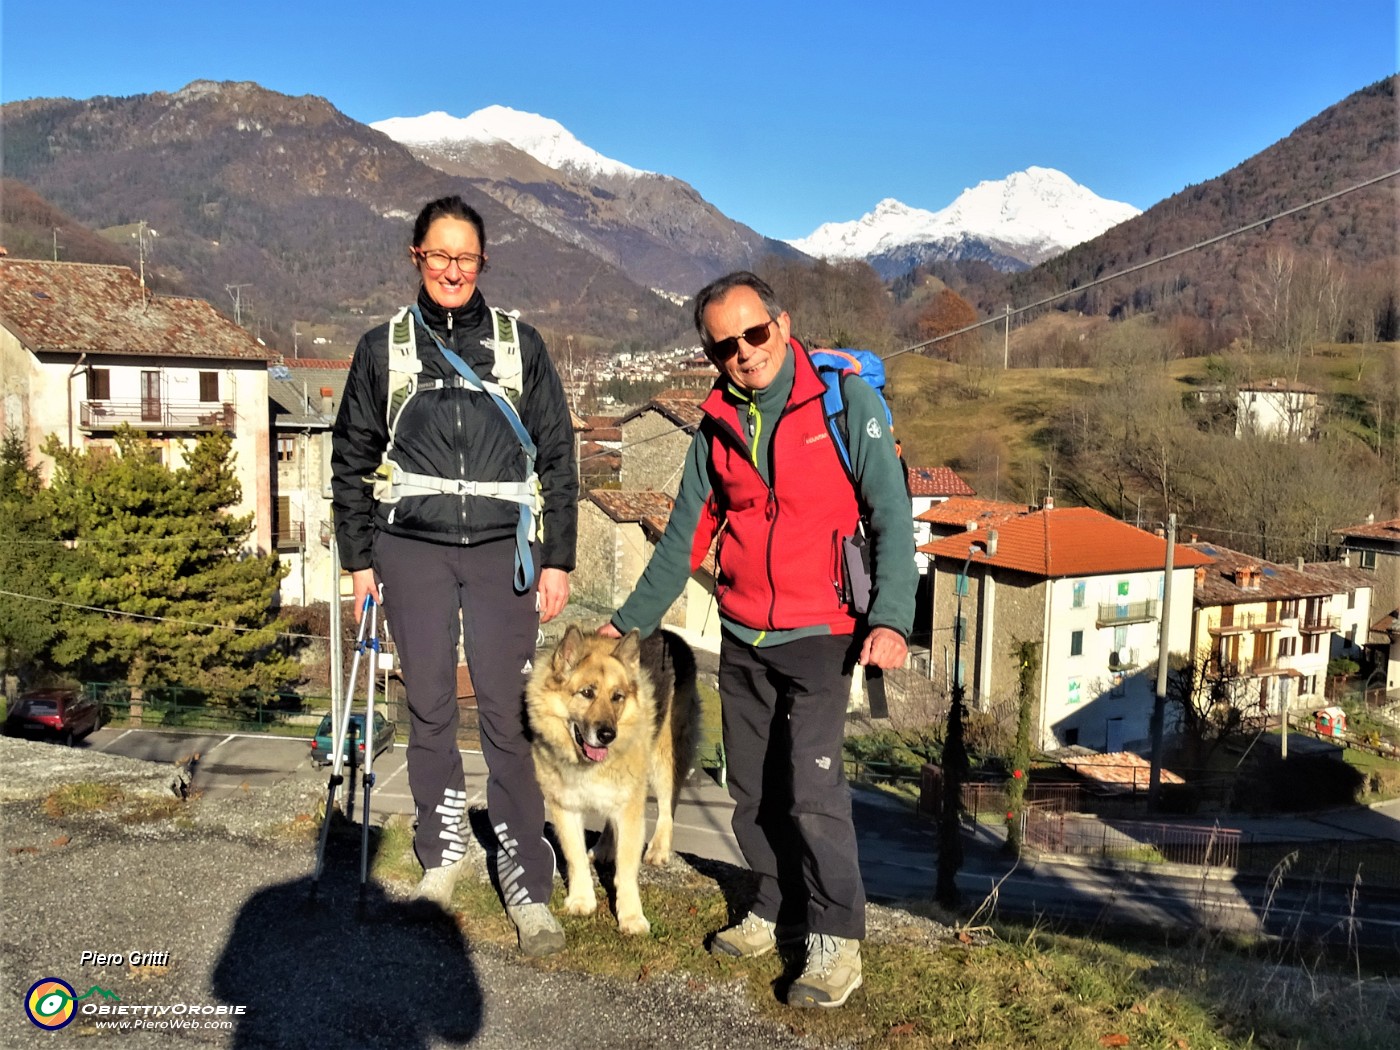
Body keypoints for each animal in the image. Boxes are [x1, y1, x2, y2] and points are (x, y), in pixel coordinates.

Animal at [526, 624, 700, 935]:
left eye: (617, 696)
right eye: (587, 693)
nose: (608, 735)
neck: (587, 765)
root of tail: (668, 632)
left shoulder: (630, 810)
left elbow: (627, 870)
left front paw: (630, 916)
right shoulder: (565, 808)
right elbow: (575, 857)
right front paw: (582, 898)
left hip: (664, 760)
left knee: (667, 806)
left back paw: (658, 848)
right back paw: (605, 847)